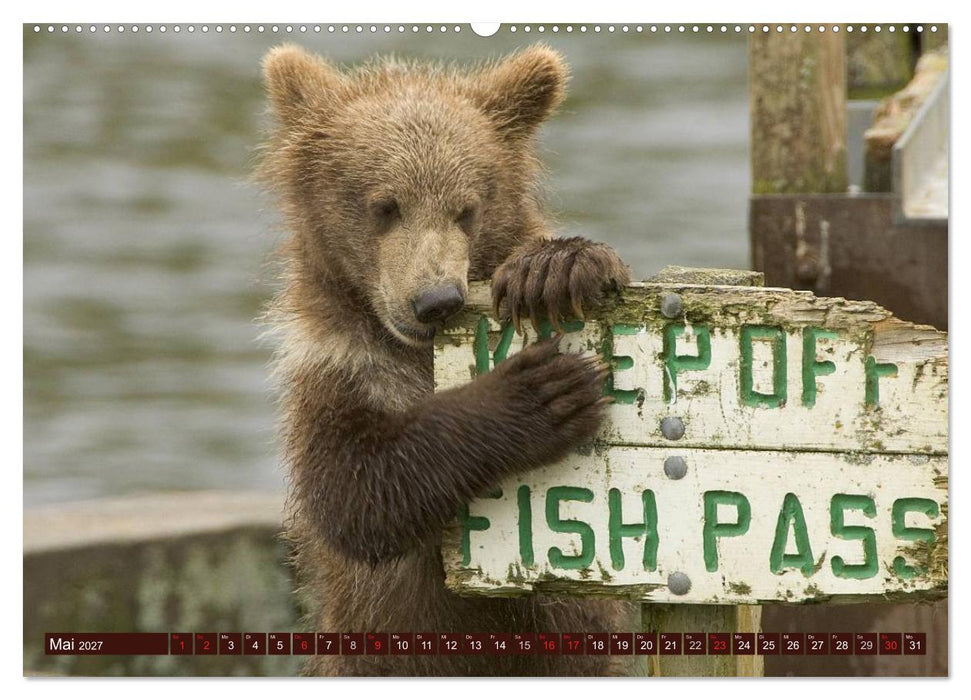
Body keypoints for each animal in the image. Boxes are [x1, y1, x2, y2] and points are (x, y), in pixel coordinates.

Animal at [257, 43, 637, 676]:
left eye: (466, 209)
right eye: (386, 206)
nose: (436, 299)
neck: (410, 353)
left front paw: (554, 269)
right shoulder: (333, 366)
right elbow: (356, 492)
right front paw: (543, 392)